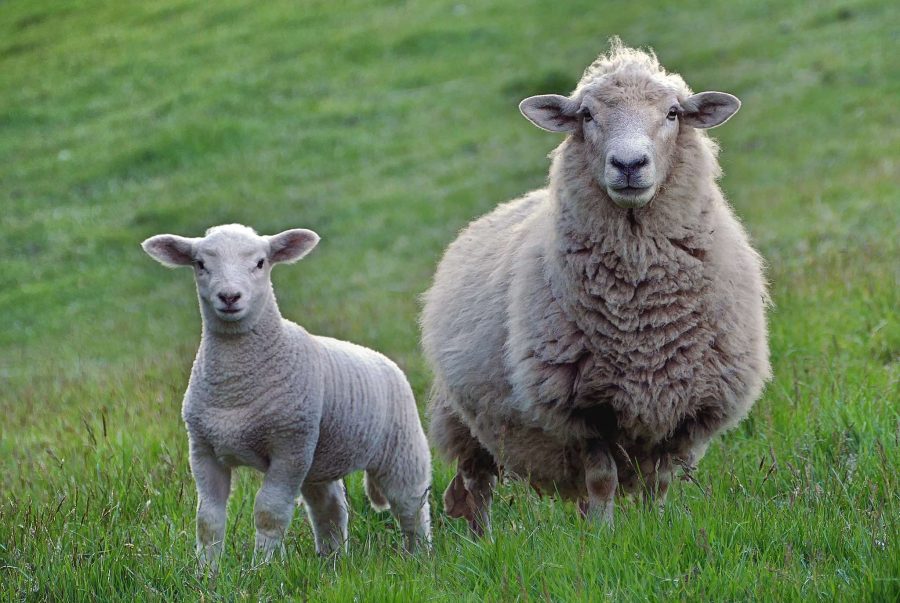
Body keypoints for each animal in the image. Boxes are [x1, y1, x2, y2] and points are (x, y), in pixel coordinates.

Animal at [141, 225, 432, 568]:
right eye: (200, 264)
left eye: (260, 263)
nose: (229, 297)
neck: (234, 387)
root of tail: (384, 361)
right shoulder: (203, 450)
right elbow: (208, 519)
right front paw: (206, 571)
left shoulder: (289, 447)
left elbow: (269, 512)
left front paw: (262, 568)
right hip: (319, 460)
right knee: (330, 509)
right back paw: (331, 561)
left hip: (401, 448)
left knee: (411, 505)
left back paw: (420, 557)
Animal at [418, 40, 768, 536]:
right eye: (586, 115)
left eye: (673, 113)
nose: (629, 165)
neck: (642, 313)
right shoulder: (582, 410)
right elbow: (602, 479)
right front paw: (604, 538)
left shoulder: (683, 409)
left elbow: (659, 482)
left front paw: (654, 529)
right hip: (463, 419)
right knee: (476, 484)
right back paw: (484, 540)